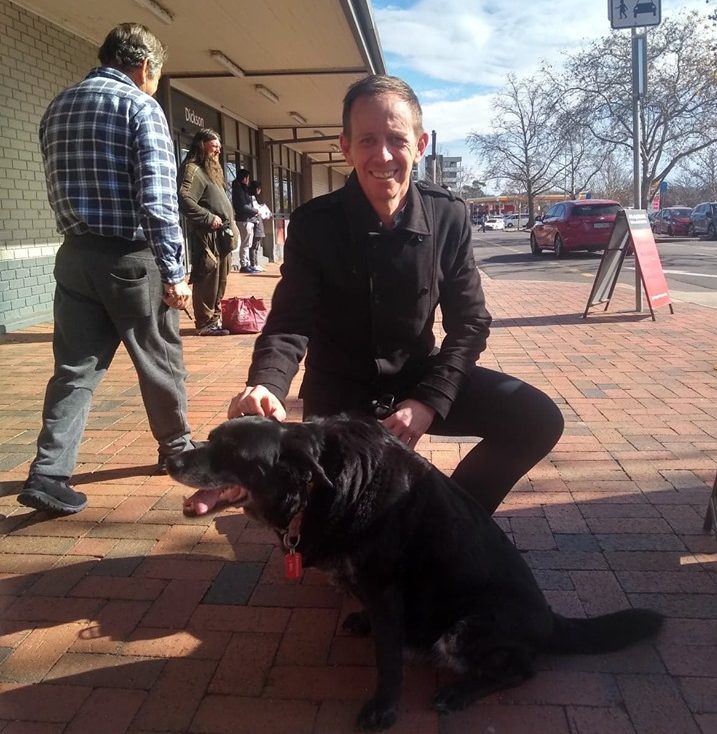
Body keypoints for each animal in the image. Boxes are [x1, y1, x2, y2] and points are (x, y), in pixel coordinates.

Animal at [166, 416, 660, 732]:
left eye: (233, 452)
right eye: (210, 438)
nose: (171, 461)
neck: (331, 486)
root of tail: (551, 620)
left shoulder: (386, 590)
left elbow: (389, 658)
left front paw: (384, 709)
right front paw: (362, 622)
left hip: (465, 630)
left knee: (522, 670)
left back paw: (460, 692)